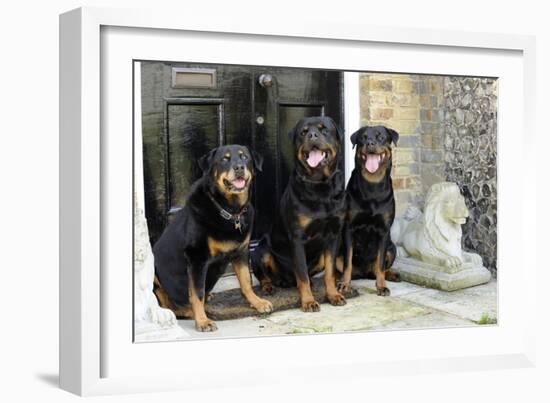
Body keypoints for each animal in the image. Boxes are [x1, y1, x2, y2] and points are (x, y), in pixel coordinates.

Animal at [153, 144, 274, 332]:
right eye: (224, 159)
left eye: (245, 157)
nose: (239, 167)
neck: (230, 211)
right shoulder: (196, 258)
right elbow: (197, 293)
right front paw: (202, 321)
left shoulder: (241, 252)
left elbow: (246, 281)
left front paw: (257, 302)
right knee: (167, 305)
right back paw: (188, 311)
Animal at [252, 117, 348, 312]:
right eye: (303, 132)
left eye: (324, 130)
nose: (312, 135)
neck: (320, 185)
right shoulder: (297, 237)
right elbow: (301, 274)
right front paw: (308, 301)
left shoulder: (334, 235)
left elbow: (330, 272)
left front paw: (333, 295)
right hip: (260, 250)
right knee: (264, 274)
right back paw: (269, 286)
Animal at [338, 125, 404, 296]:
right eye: (363, 138)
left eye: (380, 137)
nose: (370, 143)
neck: (372, 185)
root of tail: (364, 273)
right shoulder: (349, 228)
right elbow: (347, 263)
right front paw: (345, 285)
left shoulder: (384, 231)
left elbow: (380, 264)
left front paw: (381, 286)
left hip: (392, 248)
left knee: (379, 268)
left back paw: (391, 275)